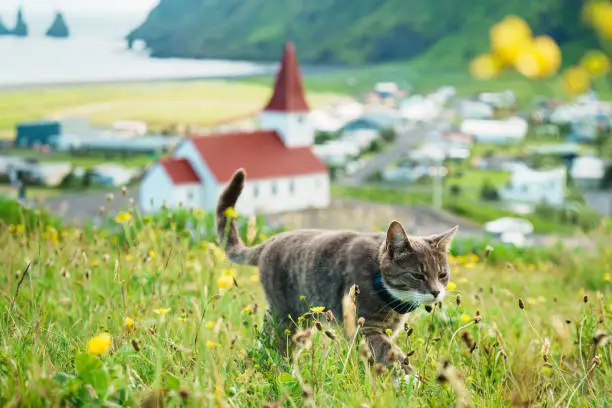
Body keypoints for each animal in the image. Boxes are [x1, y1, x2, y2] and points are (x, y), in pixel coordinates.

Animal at [218, 168, 456, 372]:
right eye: (417, 275)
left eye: (442, 274)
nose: (436, 292)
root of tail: (270, 240)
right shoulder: (364, 325)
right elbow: (390, 352)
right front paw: (409, 379)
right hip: (285, 312)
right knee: (278, 341)